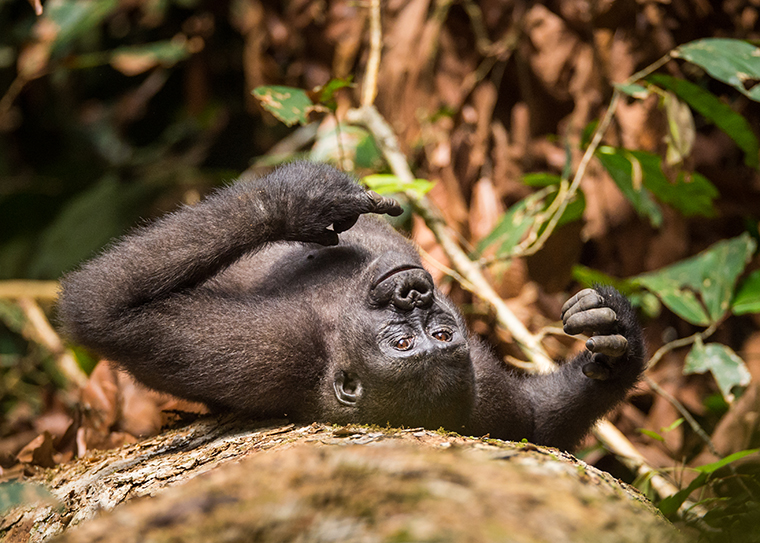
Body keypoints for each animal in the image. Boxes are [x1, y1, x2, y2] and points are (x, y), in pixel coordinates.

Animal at [56, 162, 644, 450]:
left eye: (427, 339)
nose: (414, 296)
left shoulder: (274, 351)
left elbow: (100, 312)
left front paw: (292, 202)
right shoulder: (488, 402)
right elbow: (537, 423)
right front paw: (616, 346)